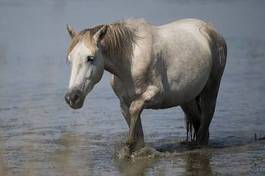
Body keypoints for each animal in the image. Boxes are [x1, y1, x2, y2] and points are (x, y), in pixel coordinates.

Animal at [63, 18, 225, 154]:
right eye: (70, 59)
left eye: (90, 58)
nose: (72, 98)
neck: (130, 63)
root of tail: (210, 30)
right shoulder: (124, 103)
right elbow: (135, 123)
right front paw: (136, 149)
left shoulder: (154, 95)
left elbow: (135, 109)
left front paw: (128, 145)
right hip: (187, 98)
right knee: (197, 119)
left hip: (212, 86)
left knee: (208, 113)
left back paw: (200, 145)